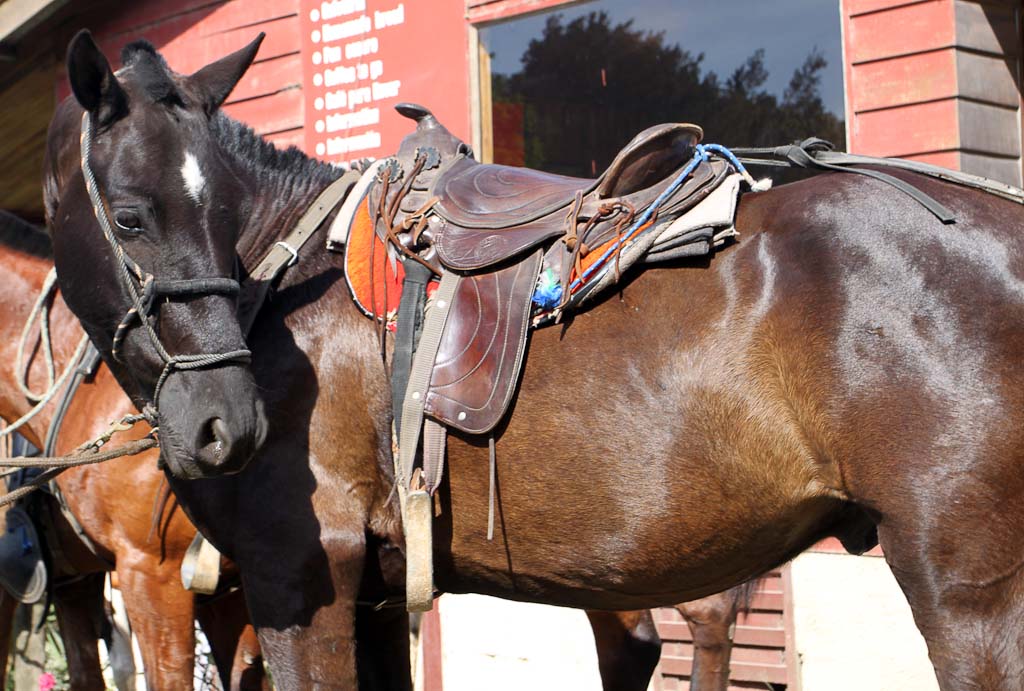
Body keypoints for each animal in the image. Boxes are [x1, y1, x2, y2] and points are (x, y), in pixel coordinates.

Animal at [41, 35, 1024, 691]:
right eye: (130, 216)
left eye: (213, 212)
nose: (226, 421)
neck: (287, 291)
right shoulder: (370, 594)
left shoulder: (299, 576)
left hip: (970, 594)